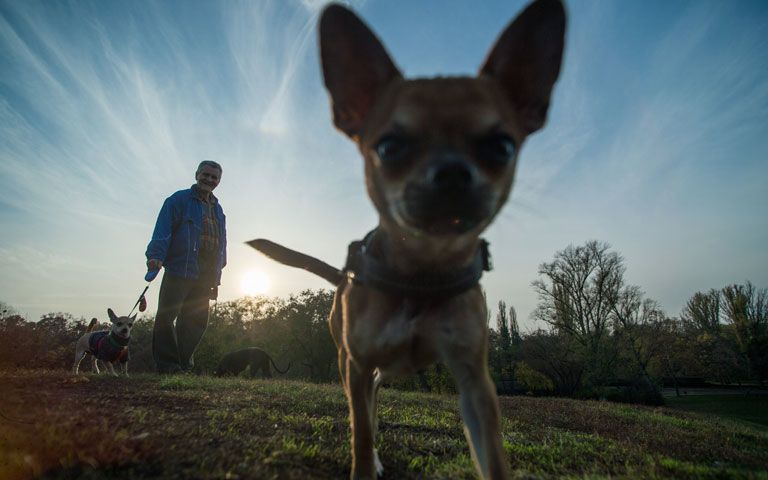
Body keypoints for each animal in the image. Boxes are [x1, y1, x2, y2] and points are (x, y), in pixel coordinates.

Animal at [249, 1, 565, 478]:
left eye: (502, 146)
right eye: (389, 147)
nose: (451, 172)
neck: (422, 270)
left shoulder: (475, 381)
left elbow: (492, 456)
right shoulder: (357, 364)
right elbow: (360, 435)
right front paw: (366, 462)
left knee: (377, 394)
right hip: (350, 361)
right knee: (363, 407)